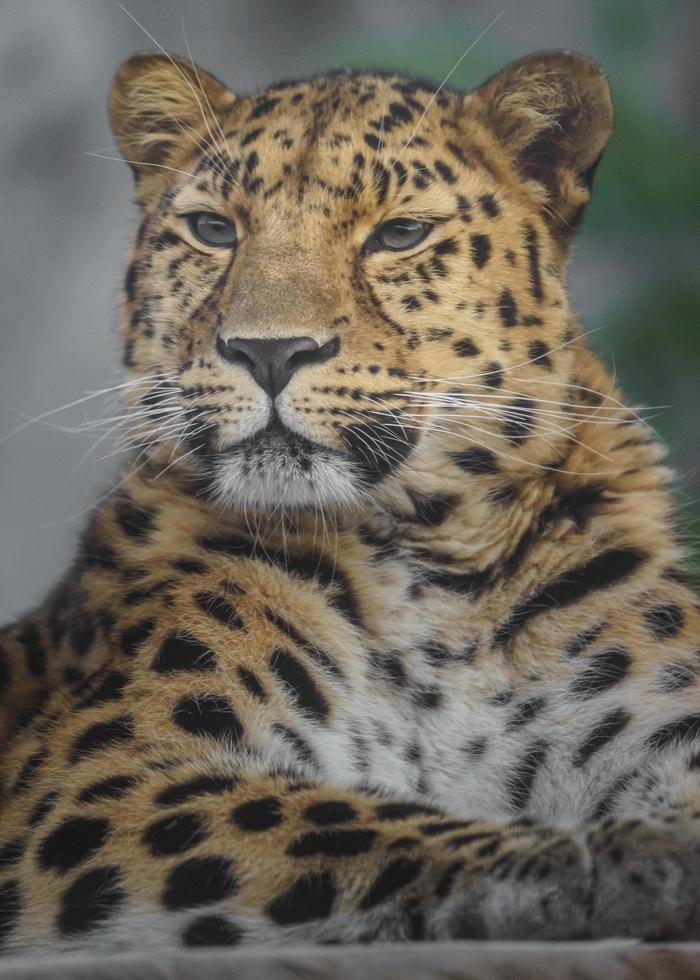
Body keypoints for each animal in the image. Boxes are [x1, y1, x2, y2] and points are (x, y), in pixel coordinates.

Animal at [1, 47, 700, 956]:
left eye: (399, 235)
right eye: (215, 229)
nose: (268, 353)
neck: (439, 569)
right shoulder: (101, 778)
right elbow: (354, 823)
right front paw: (609, 862)